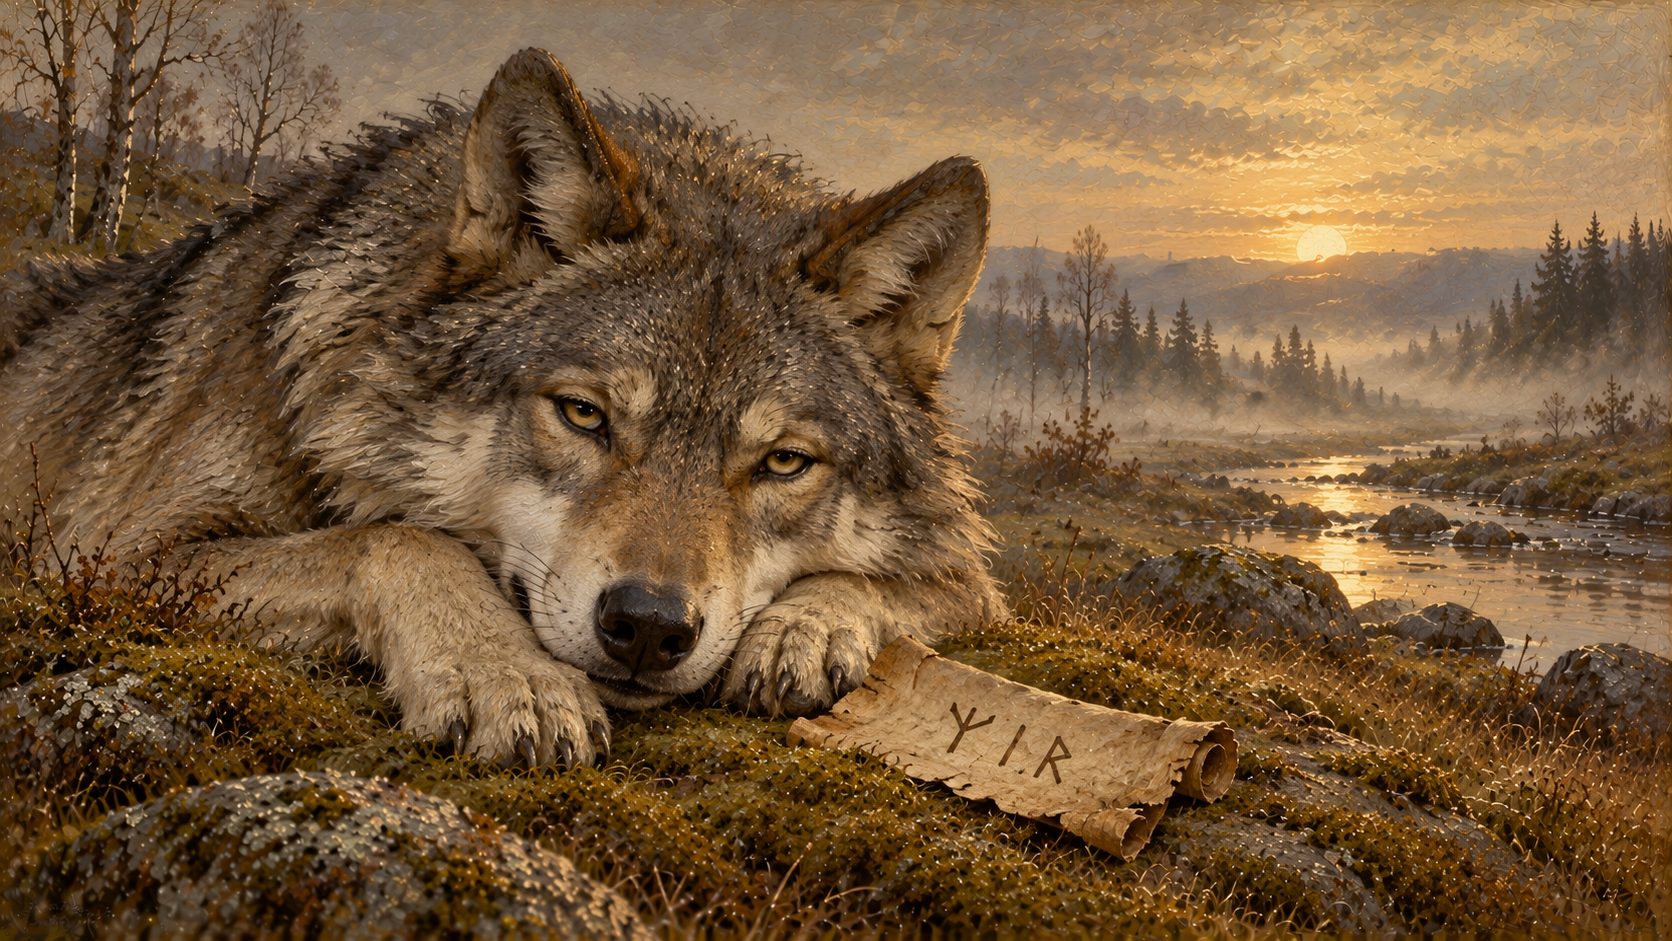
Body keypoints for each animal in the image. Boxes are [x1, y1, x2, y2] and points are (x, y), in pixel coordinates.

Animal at [0, 49, 1005, 767]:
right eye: (585, 414)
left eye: (783, 462)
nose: (650, 625)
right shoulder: (108, 558)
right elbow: (398, 538)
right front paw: (508, 676)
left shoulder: (973, 591)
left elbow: (928, 585)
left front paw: (807, 626)